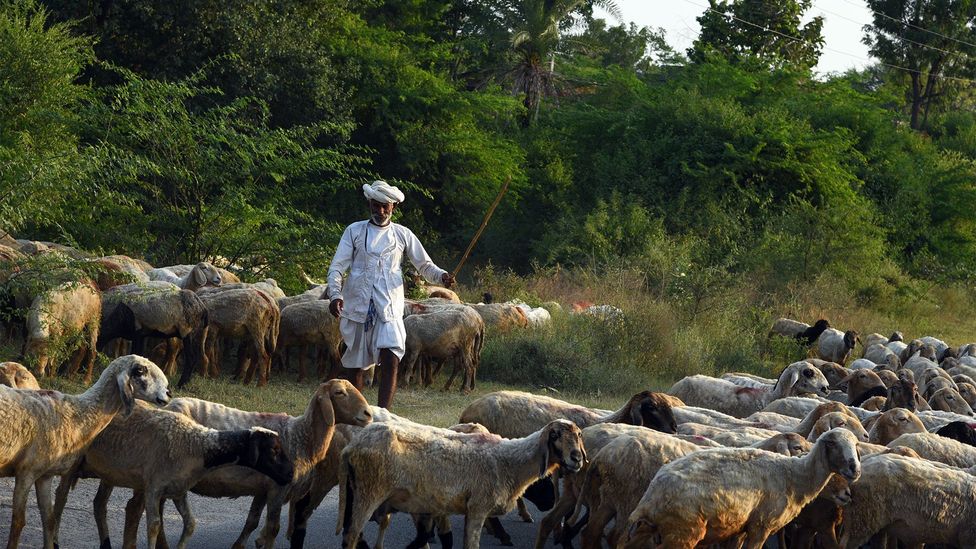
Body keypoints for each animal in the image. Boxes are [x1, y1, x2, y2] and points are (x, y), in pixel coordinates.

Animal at [0, 356, 170, 548]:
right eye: (141, 370)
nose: (168, 393)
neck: (74, 413)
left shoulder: (44, 475)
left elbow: (49, 520)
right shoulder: (26, 471)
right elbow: (18, 522)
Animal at [616, 428, 860, 548]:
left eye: (856, 445)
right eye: (832, 444)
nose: (855, 469)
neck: (793, 475)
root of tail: (651, 498)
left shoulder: (740, 529)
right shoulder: (761, 527)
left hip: (646, 529)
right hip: (684, 532)